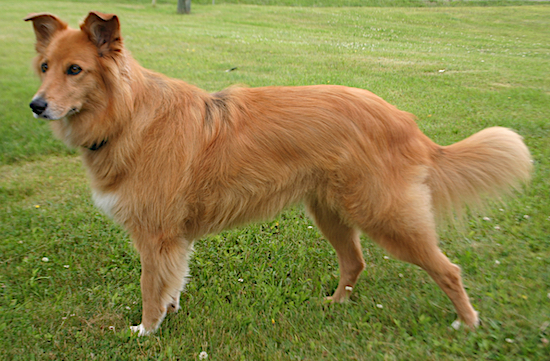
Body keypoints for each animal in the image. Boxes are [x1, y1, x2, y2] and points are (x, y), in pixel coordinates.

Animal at [27, 12, 536, 336]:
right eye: (44, 66)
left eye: (76, 70)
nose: (35, 105)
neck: (130, 115)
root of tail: (403, 121)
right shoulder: (173, 240)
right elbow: (172, 283)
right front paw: (168, 316)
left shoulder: (156, 235)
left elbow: (151, 288)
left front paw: (146, 331)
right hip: (330, 213)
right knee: (355, 262)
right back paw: (336, 305)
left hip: (387, 217)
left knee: (448, 269)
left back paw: (467, 322)